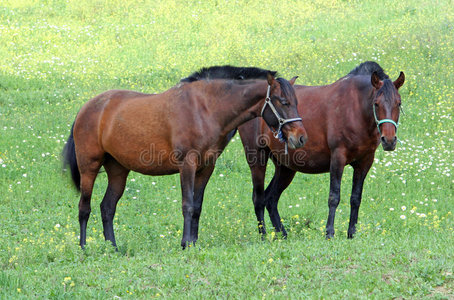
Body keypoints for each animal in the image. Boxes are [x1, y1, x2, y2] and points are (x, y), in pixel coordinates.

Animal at [62, 65, 306, 248]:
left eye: (296, 102)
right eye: (283, 101)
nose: (301, 137)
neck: (205, 108)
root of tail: (86, 108)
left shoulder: (206, 167)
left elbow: (197, 206)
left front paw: (193, 243)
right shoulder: (187, 164)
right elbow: (187, 204)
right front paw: (184, 244)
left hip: (118, 170)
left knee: (107, 208)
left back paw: (112, 247)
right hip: (89, 167)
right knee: (84, 208)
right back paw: (84, 247)